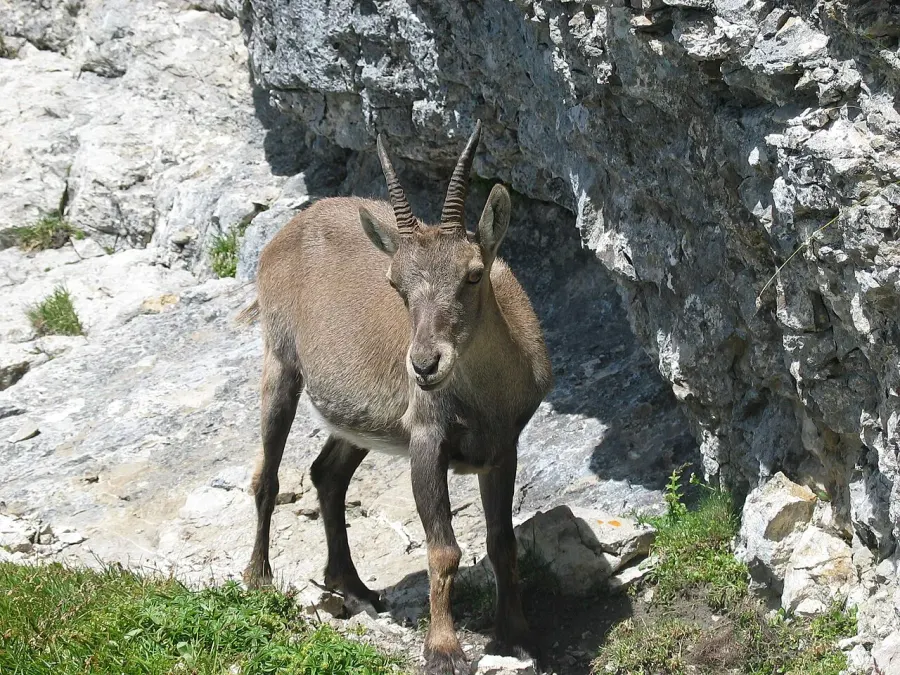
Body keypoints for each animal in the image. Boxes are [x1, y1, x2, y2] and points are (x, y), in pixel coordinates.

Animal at [242, 120, 553, 674]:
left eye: (473, 273)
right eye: (396, 283)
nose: (425, 365)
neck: (485, 399)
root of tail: (287, 233)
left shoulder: (503, 450)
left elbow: (502, 541)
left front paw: (516, 636)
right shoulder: (427, 441)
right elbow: (443, 549)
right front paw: (444, 650)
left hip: (360, 420)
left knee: (327, 473)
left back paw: (352, 585)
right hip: (279, 363)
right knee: (268, 475)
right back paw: (258, 577)